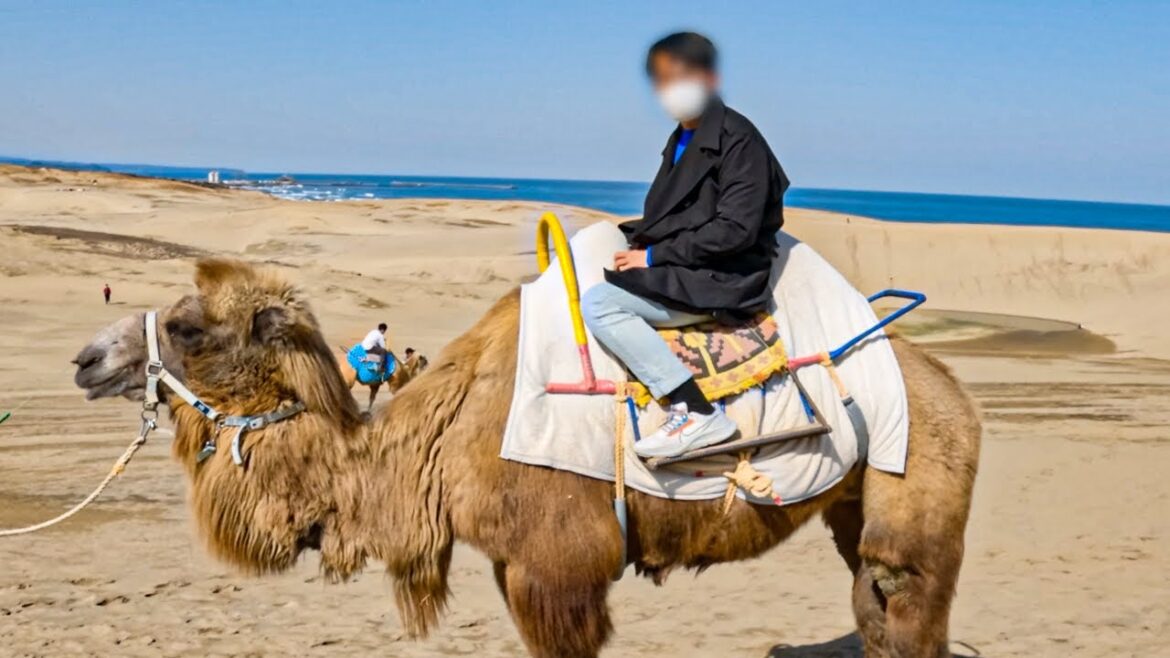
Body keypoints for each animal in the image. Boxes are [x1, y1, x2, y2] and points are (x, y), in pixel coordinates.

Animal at [73, 258, 980, 658]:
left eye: (188, 327)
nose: (86, 359)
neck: (433, 447)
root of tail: (953, 389)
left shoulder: (558, 570)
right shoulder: (516, 568)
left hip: (920, 479)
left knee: (905, 596)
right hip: (857, 500)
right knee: (875, 605)